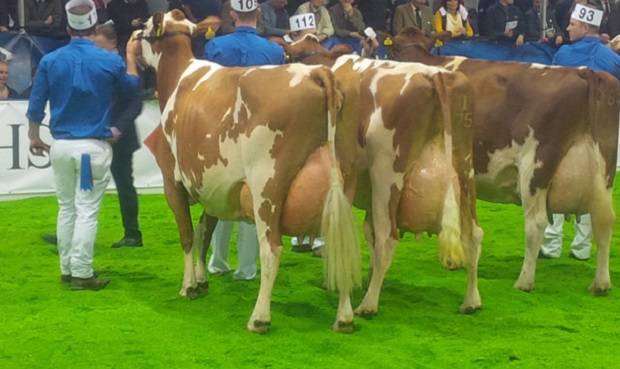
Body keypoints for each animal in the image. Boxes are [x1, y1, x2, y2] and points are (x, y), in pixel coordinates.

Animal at [133, 12, 360, 334]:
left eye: (144, 30)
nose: (132, 35)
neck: (179, 78)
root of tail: (317, 73)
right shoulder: (213, 187)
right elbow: (205, 232)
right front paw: (202, 281)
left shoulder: (171, 182)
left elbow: (188, 236)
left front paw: (188, 286)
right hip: (343, 189)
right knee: (342, 248)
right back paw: (344, 317)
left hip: (266, 187)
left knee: (272, 250)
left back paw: (259, 318)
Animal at [392, 26, 620, 294]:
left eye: (394, 46)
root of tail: (585, 72)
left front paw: (452, 259)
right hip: (604, 169)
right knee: (604, 220)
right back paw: (601, 284)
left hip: (535, 167)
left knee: (536, 223)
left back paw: (524, 281)